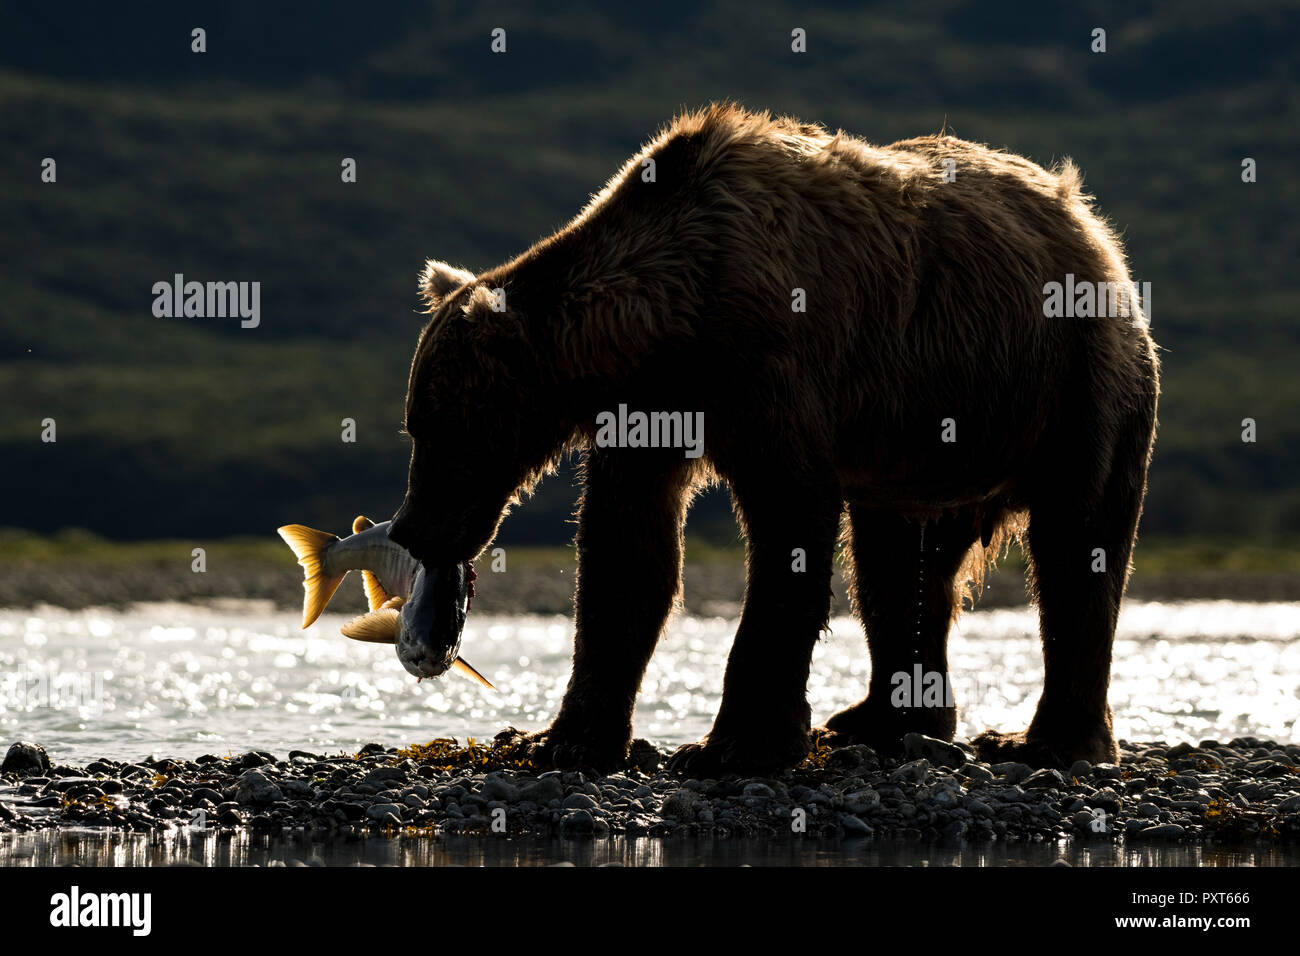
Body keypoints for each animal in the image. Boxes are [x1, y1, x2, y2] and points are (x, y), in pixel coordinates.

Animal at [384, 102, 1159, 780]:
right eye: (416, 423)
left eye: (439, 428)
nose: (410, 527)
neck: (676, 323)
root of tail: (1094, 229)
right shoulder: (652, 414)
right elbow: (625, 553)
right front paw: (569, 739)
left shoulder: (770, 369)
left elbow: (791, 522)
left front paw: (733, 745)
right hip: (922, 445)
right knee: (900, 564)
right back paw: (882, 720)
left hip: (1074, 383)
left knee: (1076, 546)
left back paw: (1052, 740)